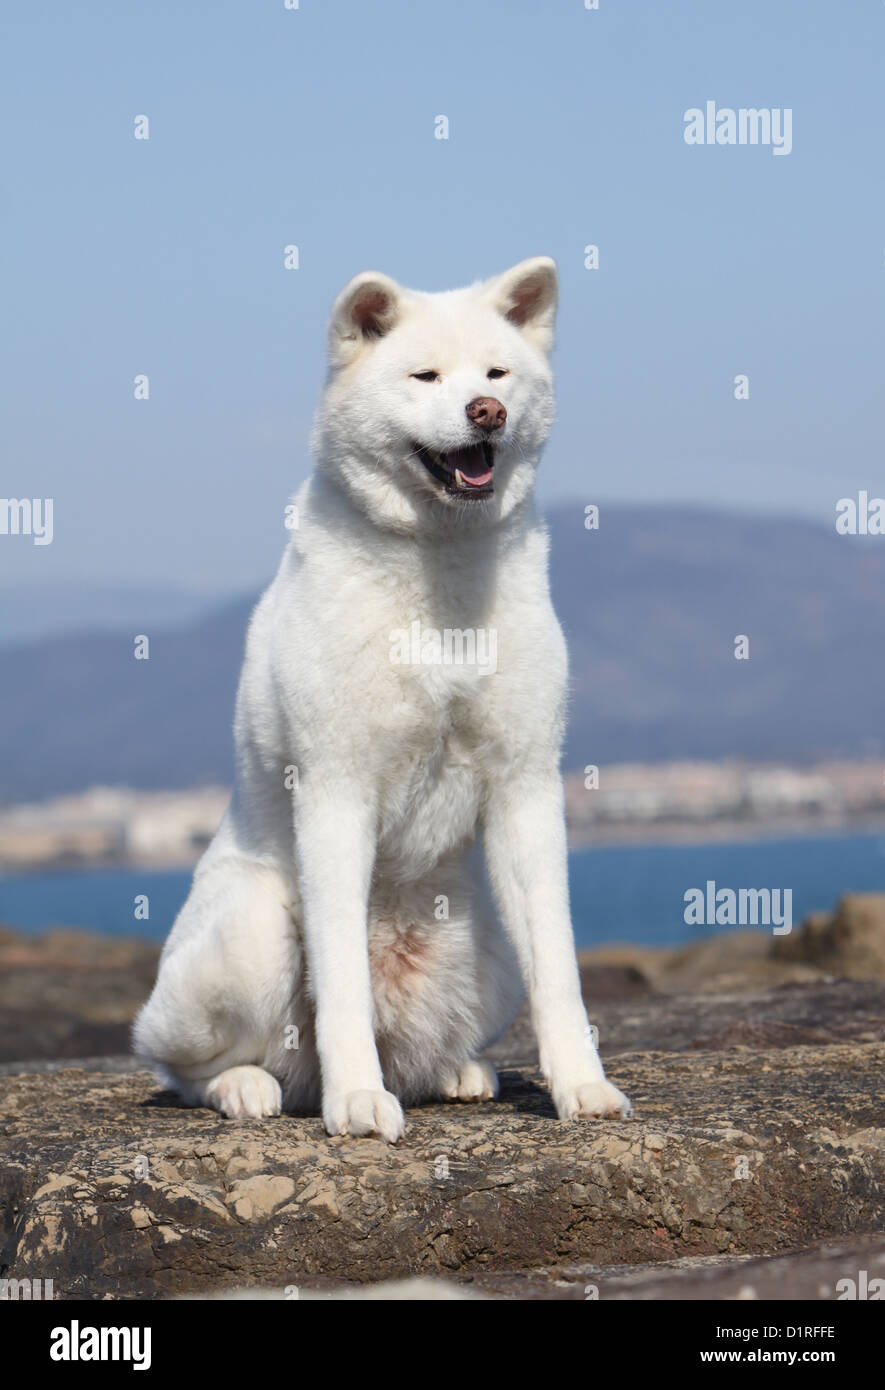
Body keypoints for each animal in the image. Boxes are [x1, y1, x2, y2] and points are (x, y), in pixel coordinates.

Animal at [134, 258, 630, 1139]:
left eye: (496, 375)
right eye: (424, 376)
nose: (486, 412)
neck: (439, 574)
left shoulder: (526, 786)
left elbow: (560, 970)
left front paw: (581, 1086)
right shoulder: (336, 788)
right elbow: (340, 986)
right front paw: (358, 1101)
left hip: (486, 952)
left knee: (431, 1047)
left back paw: (459, 1073)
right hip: (252, 930)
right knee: (189, 1066)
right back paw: (251, 1088)